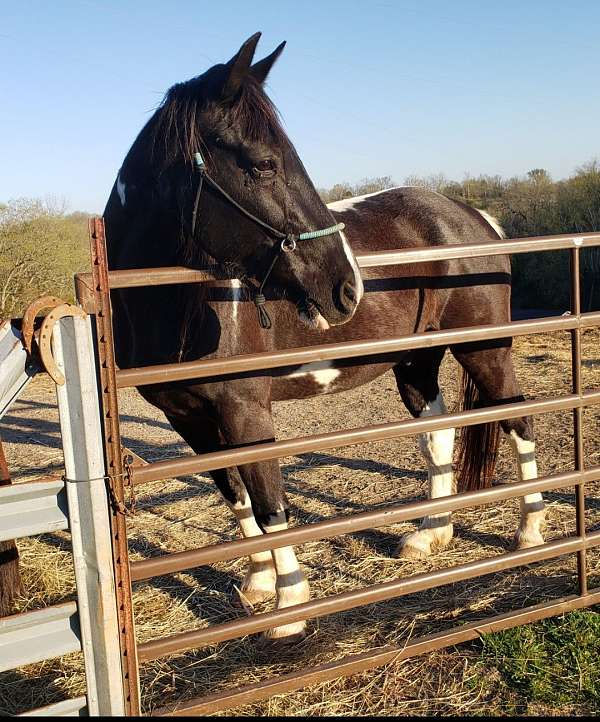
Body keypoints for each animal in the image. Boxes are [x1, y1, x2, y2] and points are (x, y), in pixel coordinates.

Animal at [105, 33, 548, 640]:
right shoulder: (190, 419)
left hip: (484, 349)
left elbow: (270, 502)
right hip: (416, 360)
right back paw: (430, 533)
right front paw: (257, 582)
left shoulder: (246, 411)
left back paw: (530, 533)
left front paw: (289, 607)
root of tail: (473, 217)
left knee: (517, 422)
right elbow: (236, 496)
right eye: (265, 164)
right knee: (437, 434)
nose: (347, 287)